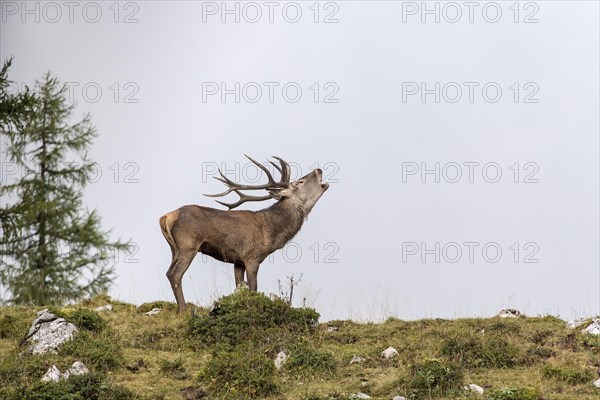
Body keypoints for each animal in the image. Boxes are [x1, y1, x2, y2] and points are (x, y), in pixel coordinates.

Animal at [157, 155, 330, 314]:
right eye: (298, 182)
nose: (318, 169)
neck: (271, 231)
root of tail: (165, 217)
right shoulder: (251, 256)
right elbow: (253, 287)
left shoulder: (237, 261)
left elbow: (239, 286)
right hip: (188, 245)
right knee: (175, 274)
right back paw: (184, 310)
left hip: (175, 249)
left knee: (170, 272)